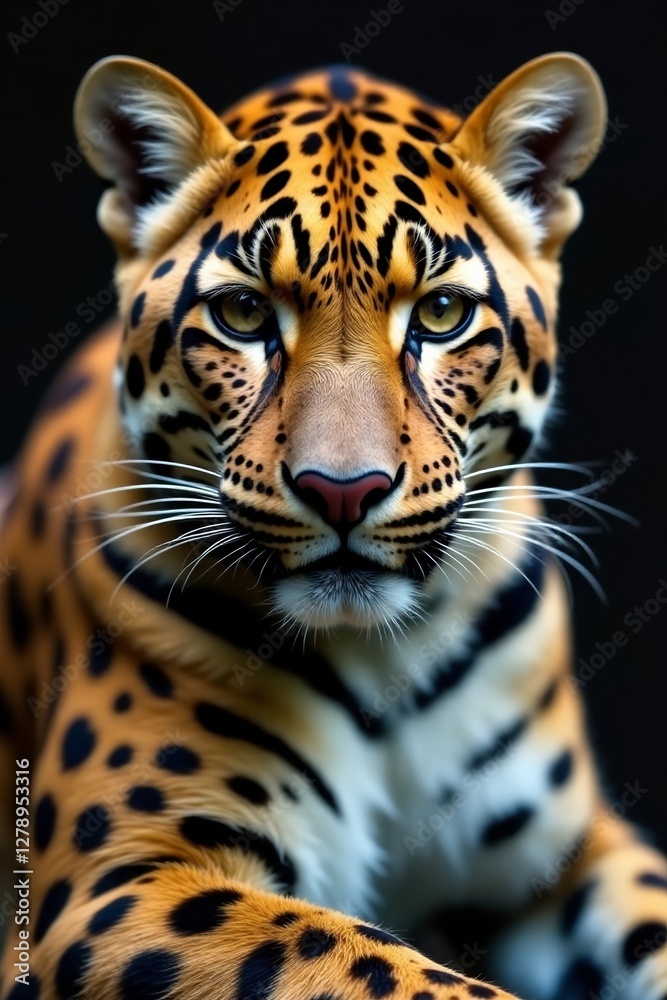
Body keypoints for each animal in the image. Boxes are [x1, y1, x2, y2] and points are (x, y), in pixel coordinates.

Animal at [1, 51, 666, 1000]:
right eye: (243, 316)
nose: (343, 491)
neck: (383, 659)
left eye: (440, 315)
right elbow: (378, 965)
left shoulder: (569, 858)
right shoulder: (116, 884)